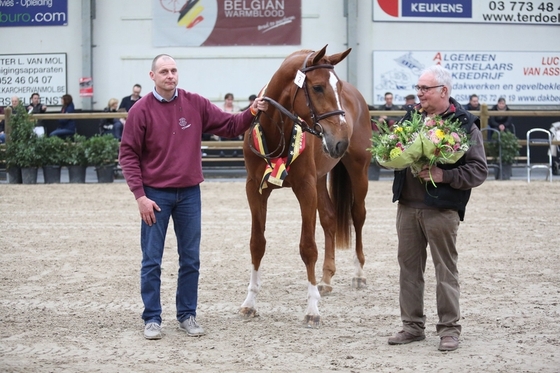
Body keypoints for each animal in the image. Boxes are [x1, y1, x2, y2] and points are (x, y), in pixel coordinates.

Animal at [240, 45, 372, 326]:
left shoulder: (305, 188)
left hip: (358, 170)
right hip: (321, 179)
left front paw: (312, 309)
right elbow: (257, 243)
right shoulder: (255, 189)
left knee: (358, 216)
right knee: (330, 218)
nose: (340, 141)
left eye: (338, 87)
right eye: (318, 87)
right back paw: (326, 278)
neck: (275, 130)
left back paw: (358, 274)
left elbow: (308, 248)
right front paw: (250, 303)